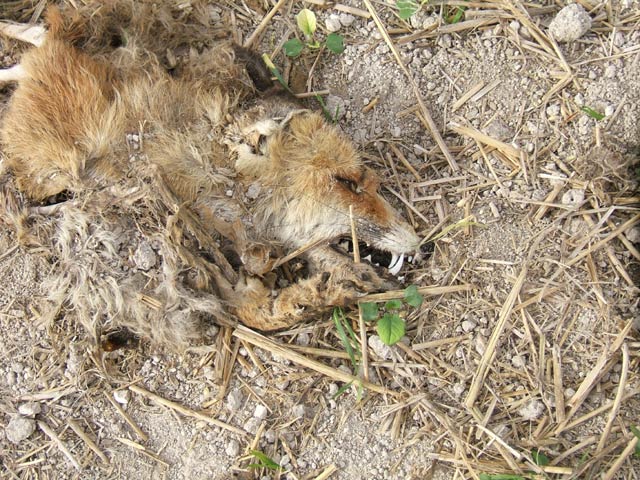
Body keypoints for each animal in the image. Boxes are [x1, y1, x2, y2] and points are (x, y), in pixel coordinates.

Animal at [0, 2, 422, 348]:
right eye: (346, 182)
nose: (422, 244)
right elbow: (253, 313)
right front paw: (322, 293)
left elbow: (254, 307)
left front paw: (320, 294)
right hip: (51, 166)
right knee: (39, 45)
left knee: (37, 42)